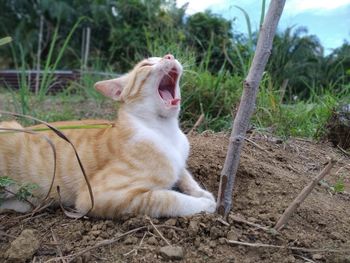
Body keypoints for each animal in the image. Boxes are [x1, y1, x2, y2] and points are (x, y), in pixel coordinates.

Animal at [0, 54, 216, 219]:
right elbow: (168, 198)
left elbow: (185, 175)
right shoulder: (96, 195)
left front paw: (204, 193)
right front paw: (205, 204)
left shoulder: (179, 162)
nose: (170, 56)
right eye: (146, 65)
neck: (165, 130)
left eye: (167, 56)